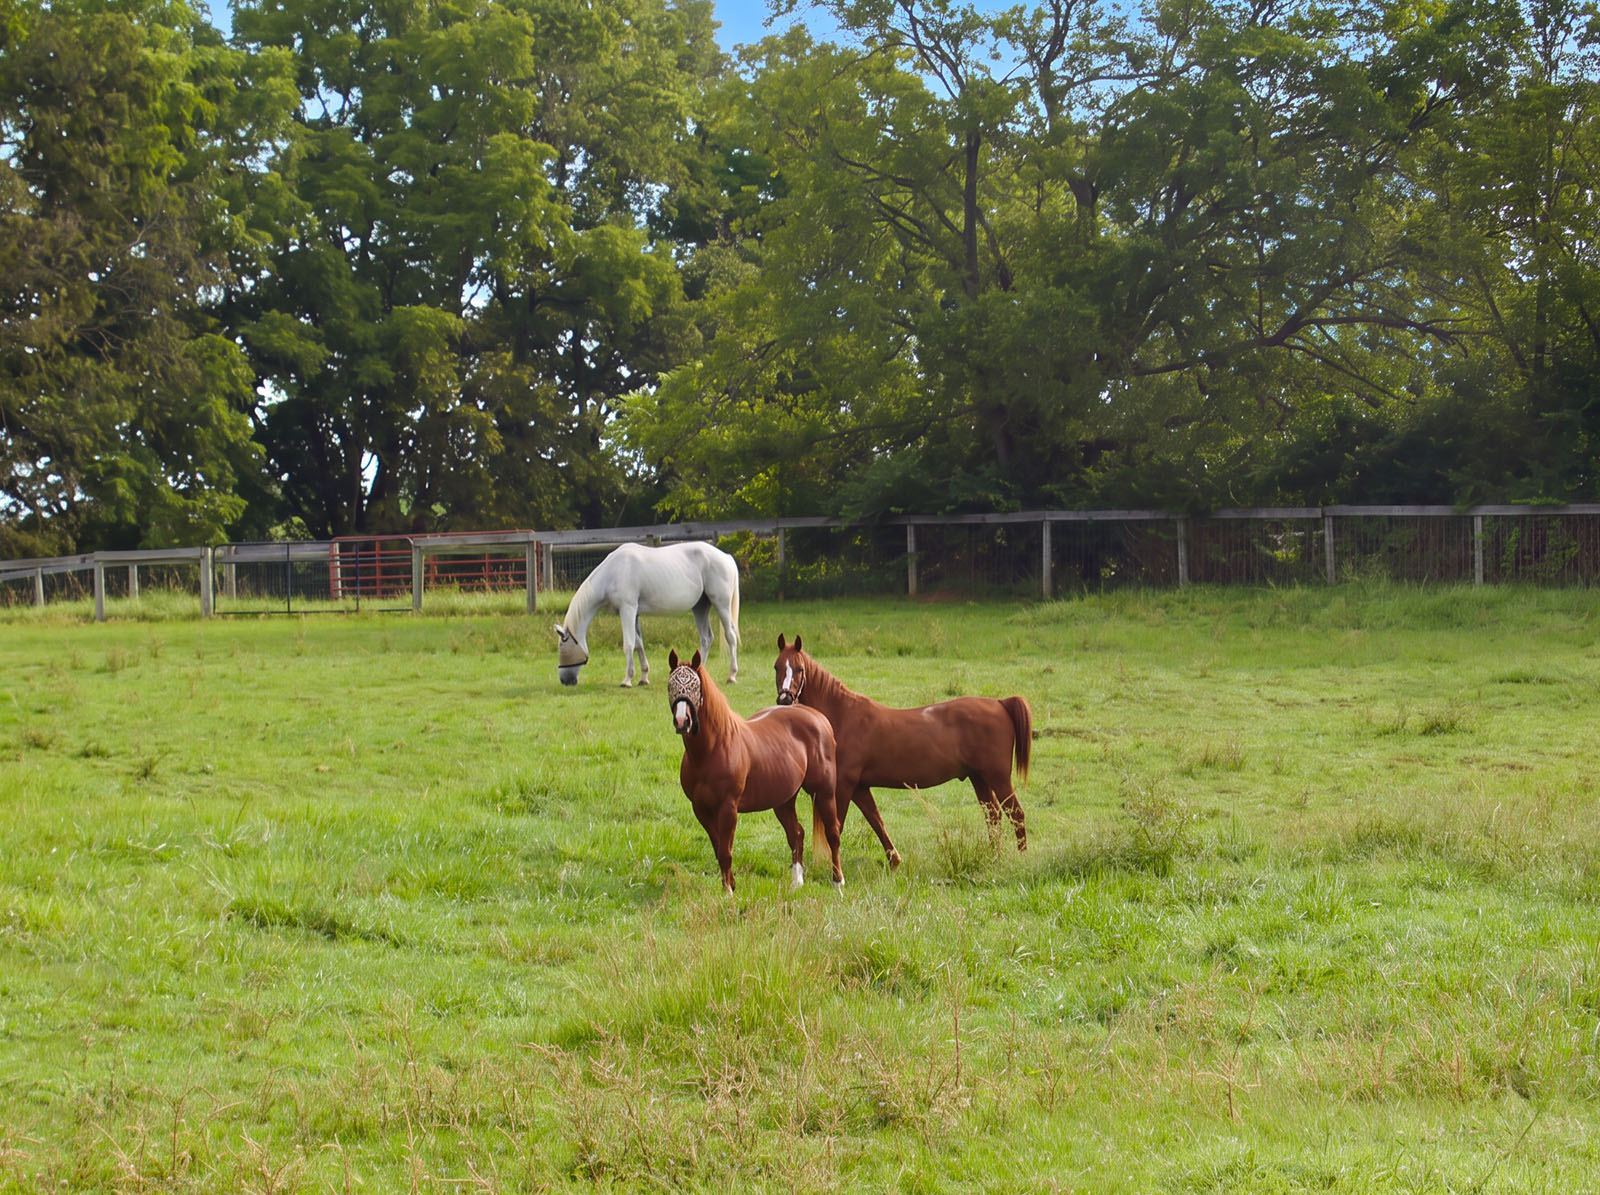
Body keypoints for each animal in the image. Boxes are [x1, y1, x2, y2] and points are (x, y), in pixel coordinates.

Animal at [553, 541, 741, 687]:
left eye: (562, 646)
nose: (564, 680)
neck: (613, 572)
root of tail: (726, 557)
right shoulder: (634, 614)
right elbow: (638, 644)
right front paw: (643, 678)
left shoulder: (627, 610)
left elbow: (628, 644)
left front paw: (627, 680)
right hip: (700, 607)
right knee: (706, 638)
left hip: (721, 605)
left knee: (730, 636)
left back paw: (732, 676)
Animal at [667, 648, 844, 892]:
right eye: (670, 685)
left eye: (695, 686)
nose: (682, 721)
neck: (713, 750)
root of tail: (818, 717)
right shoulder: (700, 809)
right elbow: (719, 849)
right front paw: (730, 885)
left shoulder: (728, 808)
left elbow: (725, 852)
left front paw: (729, 892)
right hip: (783, 800)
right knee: (796, 833)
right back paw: (796, 883)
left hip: (824, 792)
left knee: (832, 833)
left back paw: (838, 882)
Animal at [772, 633, 1031, 863]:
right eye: (776, 667)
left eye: (799, 669)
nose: (785, 699)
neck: (843, 716)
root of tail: (1000, 703)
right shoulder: (860, 788)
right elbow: (876, 820)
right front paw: (894, 860)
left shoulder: (843, 786)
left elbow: (837, 827)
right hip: (979, 778)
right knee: (994, 816)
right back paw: (994, 856)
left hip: (997, 777)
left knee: (1015, 814)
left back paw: (1021, 859)